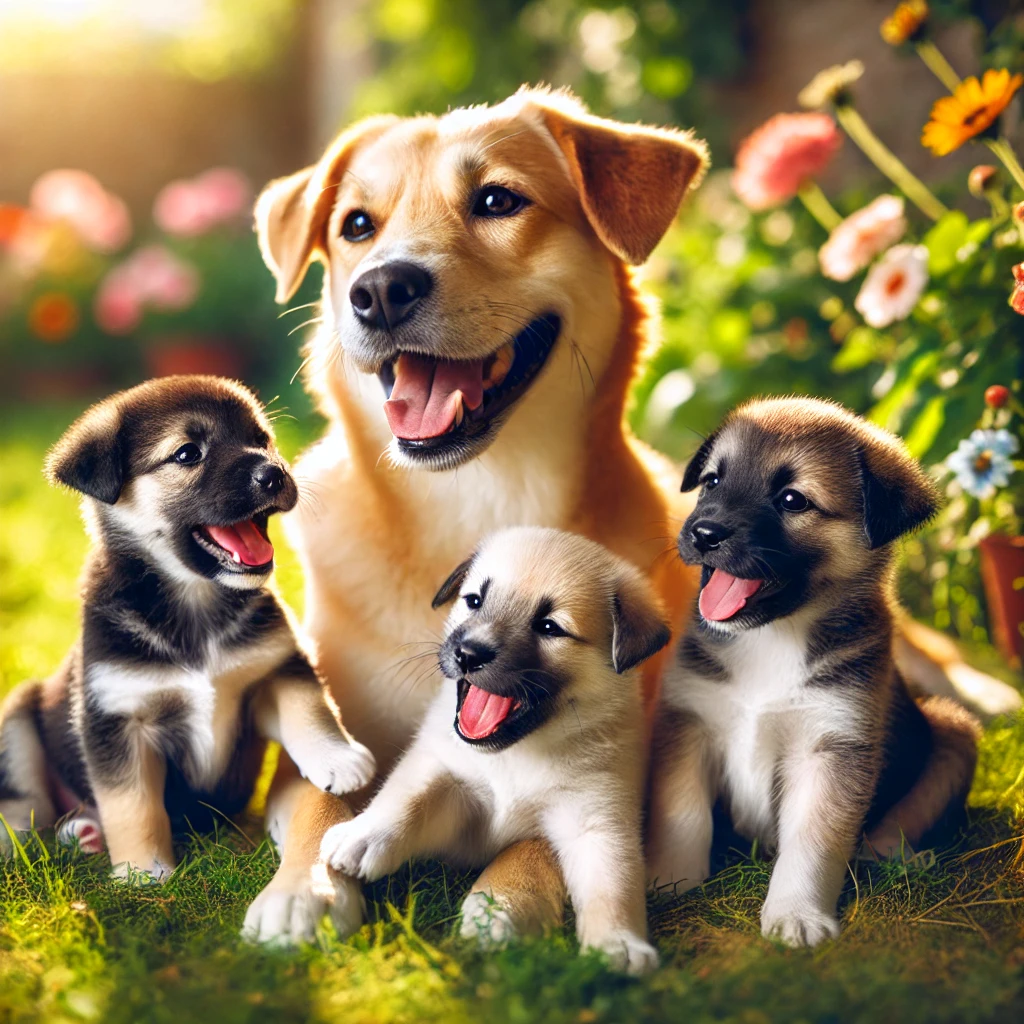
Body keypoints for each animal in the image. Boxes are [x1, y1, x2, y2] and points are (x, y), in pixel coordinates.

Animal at [0, 376, 376, 942]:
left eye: (261, 439)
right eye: (187, 454)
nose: (275, 473)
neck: (196, 603)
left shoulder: (273, 673)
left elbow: (311, 711)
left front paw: (338, 759)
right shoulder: (117, 720)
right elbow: (133, 805)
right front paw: (143, 874)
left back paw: (85, 833)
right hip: (18, 713)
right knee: (28, 804)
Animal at [319, 528, 671, 974]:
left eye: (549, 627)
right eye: (474, 601)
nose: (468, 654)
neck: (517, 755)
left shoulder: (598, 822)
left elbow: (613, 886)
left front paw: (619, 943)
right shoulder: (448, 776)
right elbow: (407, 799)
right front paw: (364, 836)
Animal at [651, 395, 978, 946]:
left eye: (792, 500)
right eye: (713, 480)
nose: (702, 533)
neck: (771, 639)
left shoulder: (831, 747)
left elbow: (813, 845)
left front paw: (796, 915)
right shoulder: (690, 722)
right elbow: (683, 816)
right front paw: (669, 883)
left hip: (954, 732)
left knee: (899, 820)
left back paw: (901, 858)